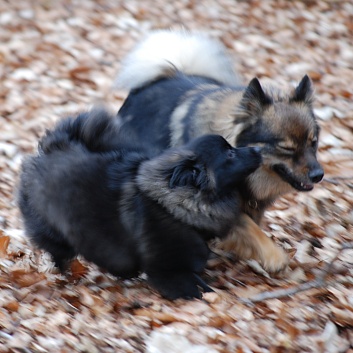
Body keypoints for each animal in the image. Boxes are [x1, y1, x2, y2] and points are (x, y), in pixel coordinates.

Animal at [19, 108, 262, 298]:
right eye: (230, 154)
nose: (258, 149)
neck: (178, 205)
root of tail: (52, 149)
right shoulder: (168, 270)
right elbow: (193, 287)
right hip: (55, 233)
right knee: (58, 252)